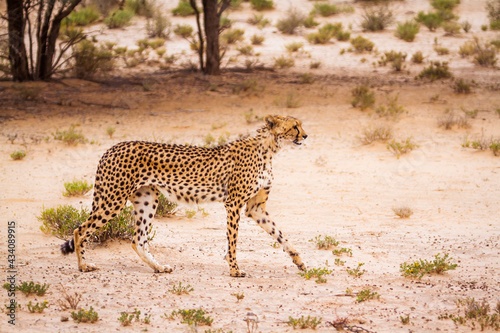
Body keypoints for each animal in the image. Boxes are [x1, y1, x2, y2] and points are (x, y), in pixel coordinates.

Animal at [60, 115, 306, 276]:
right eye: (294, 126)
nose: (305, 135)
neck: (269, 148)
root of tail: (112, 147)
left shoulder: (255, 208)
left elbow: (280, 234)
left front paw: (299, 261)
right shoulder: (234, 203)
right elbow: (233, 240)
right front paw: (235, 269)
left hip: (147, 199)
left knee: (138, 240)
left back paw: (159, 267)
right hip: (113, 199)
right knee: (80, 230)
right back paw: (83, 266)